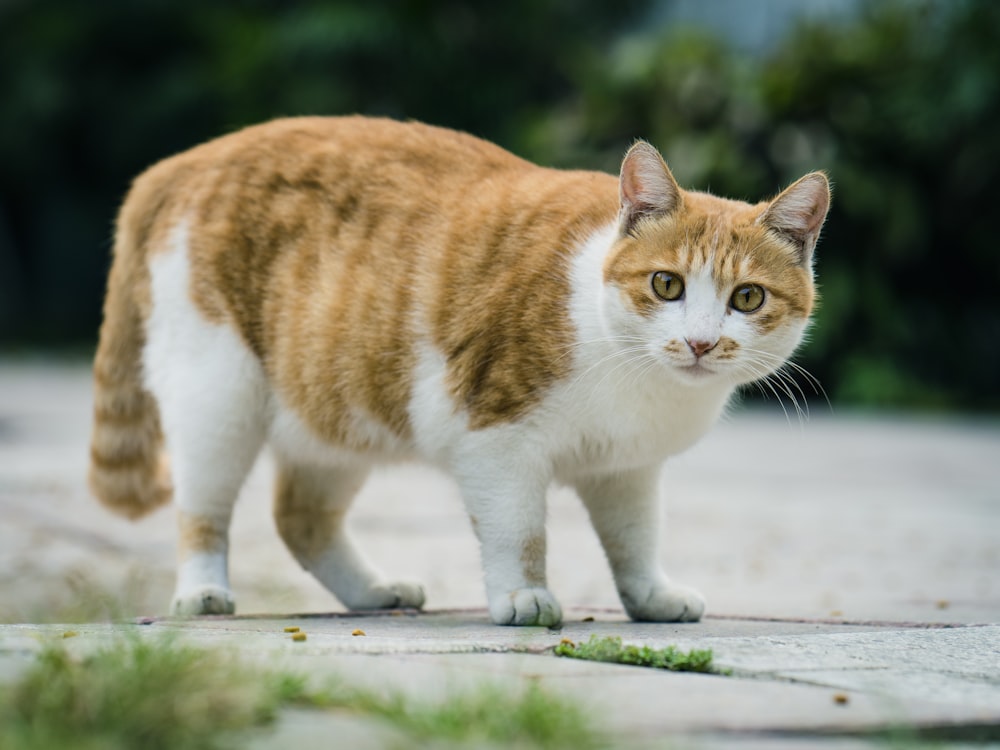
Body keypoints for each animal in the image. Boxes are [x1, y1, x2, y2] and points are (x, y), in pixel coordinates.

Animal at [88, 114, 828, 624]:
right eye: (666, 285)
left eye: (748, 298)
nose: (701, 343)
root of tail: (185, 161)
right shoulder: (497, 440)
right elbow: (519, 531)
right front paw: (525, 596)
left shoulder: (628, 467)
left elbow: (635, 538)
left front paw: (650, 595)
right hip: (218, 397)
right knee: (203, 509)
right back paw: (203, 591)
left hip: (336, 408)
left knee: (300, 518)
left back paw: (374, 592)